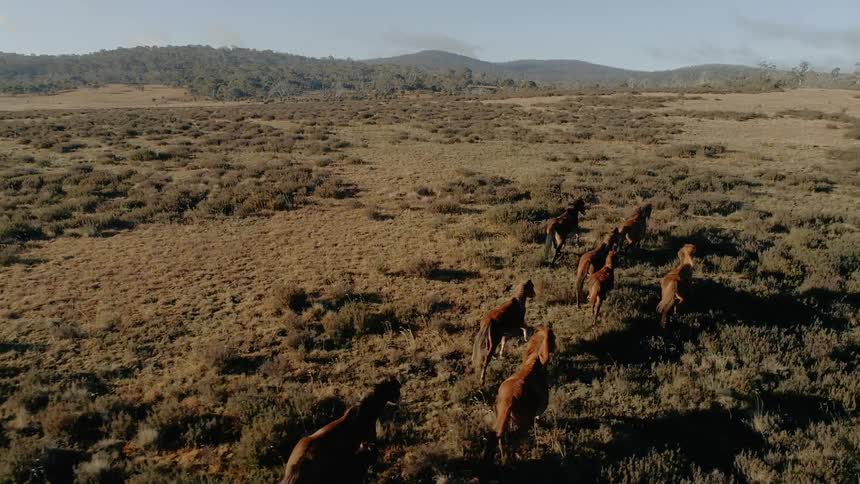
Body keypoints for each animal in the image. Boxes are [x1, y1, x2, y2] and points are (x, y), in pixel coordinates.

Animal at [493, 325, 556, 463]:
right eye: (553, 337)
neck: (533, 362)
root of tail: (509, 399)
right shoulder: (540, 409)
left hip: (504, 420)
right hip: (523, 423)